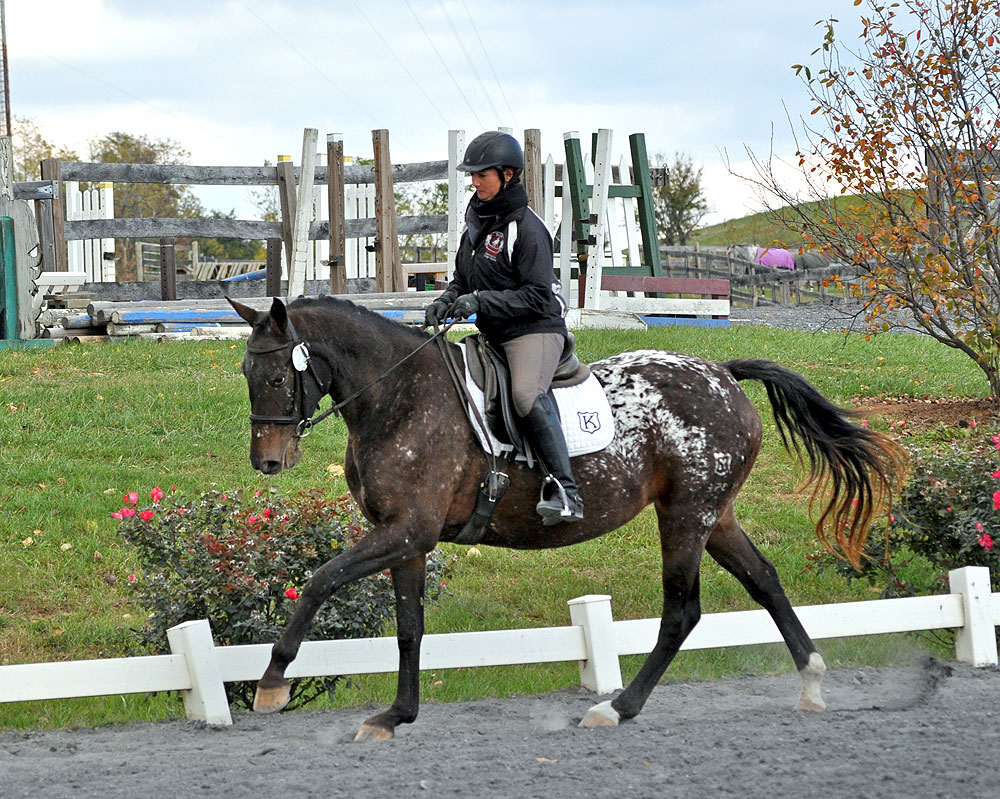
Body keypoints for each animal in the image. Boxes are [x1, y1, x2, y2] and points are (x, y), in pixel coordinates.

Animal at [228, 295, 905, 741]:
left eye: (275, 374)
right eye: (245, 373)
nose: (267, 461)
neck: (399, 395)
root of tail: (721, 373)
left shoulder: (404, 532)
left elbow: (320, 580)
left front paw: (271, 683)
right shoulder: (408, 540)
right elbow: (409, 629)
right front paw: (396, 716)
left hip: (686, 515)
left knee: (682, 610)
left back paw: (618, 708)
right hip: (715, 515)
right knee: (763, 580)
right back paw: (811, 682)